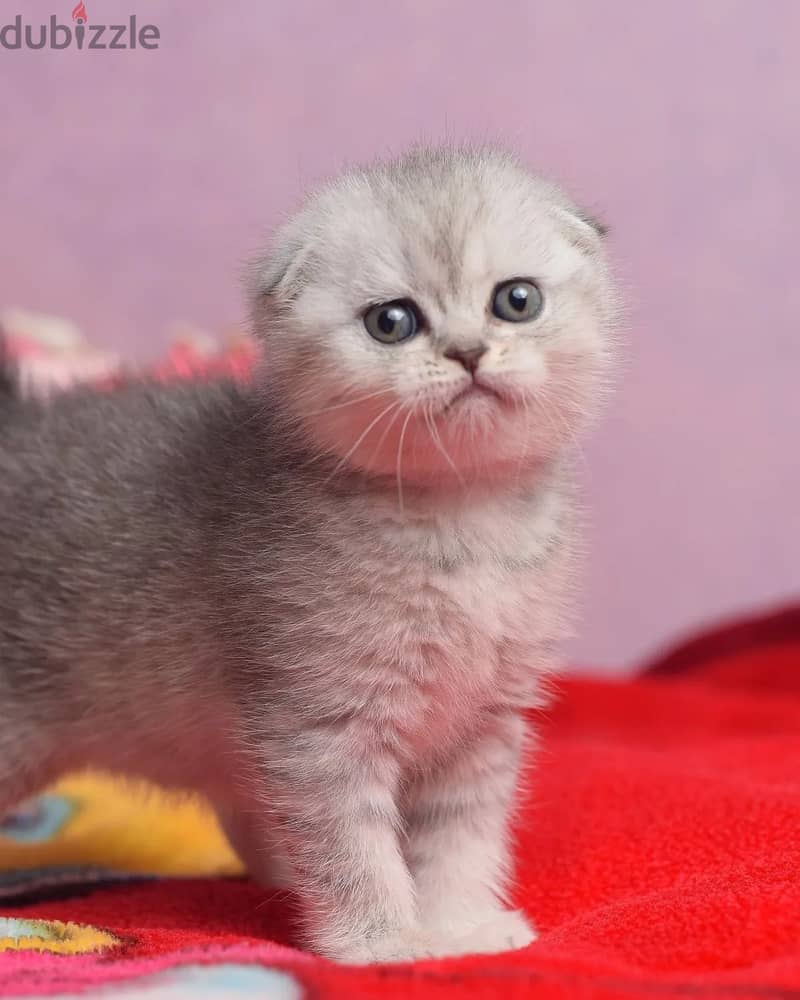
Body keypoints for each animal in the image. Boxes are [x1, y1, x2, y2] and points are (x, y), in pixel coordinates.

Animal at [0, 146, 620, 960]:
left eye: (516, 301)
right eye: (392, 322)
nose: (468, 352)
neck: (460, 524)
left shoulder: (482, 724)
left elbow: (459, 838)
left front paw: (461, 925)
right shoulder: (319, 724)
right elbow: (352, 847)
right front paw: (383, 943)